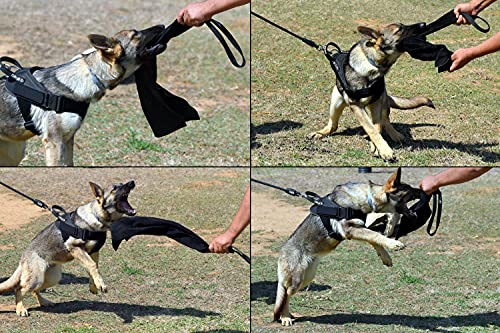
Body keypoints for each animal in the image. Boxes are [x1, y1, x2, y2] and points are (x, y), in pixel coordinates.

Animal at [0, 180, 137, 316]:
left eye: (122, 183)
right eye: (115, 188)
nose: (132, 182)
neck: (96, 217)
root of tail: (24, 255)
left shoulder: (93, 252)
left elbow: (93, 268)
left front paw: (94, 285)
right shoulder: (75, 248)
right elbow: (92, 265)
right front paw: (101, 284)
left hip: (51, 278)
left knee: (34, 291)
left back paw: (44, 302)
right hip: (36, 278)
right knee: (19, 289)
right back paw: (20, 309)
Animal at [274, 169, 422, 324]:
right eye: (410, 189)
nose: (423, 191)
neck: (367, 197)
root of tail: (282, 251)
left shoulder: (359, 227)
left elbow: (373, 238)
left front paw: (385, 256)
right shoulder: (350, 229)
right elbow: (375, 235)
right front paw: (393, 244)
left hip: (307, 278)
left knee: (287, 294)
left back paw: (287, 315)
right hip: (296, 280)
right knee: (286, 294)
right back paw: (285, 316)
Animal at [306, 22, 436, 160]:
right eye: (400, 29)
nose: (423, 24)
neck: (372, 64)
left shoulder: (377, 101)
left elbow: (376, 126)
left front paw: (377, 147)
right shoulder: (356, 106)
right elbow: (371, 128)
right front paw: (384, 150)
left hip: (382, 102)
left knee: (385, 120)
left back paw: (395, 135)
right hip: (335, 103)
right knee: (333, 126)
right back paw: (320, 133)